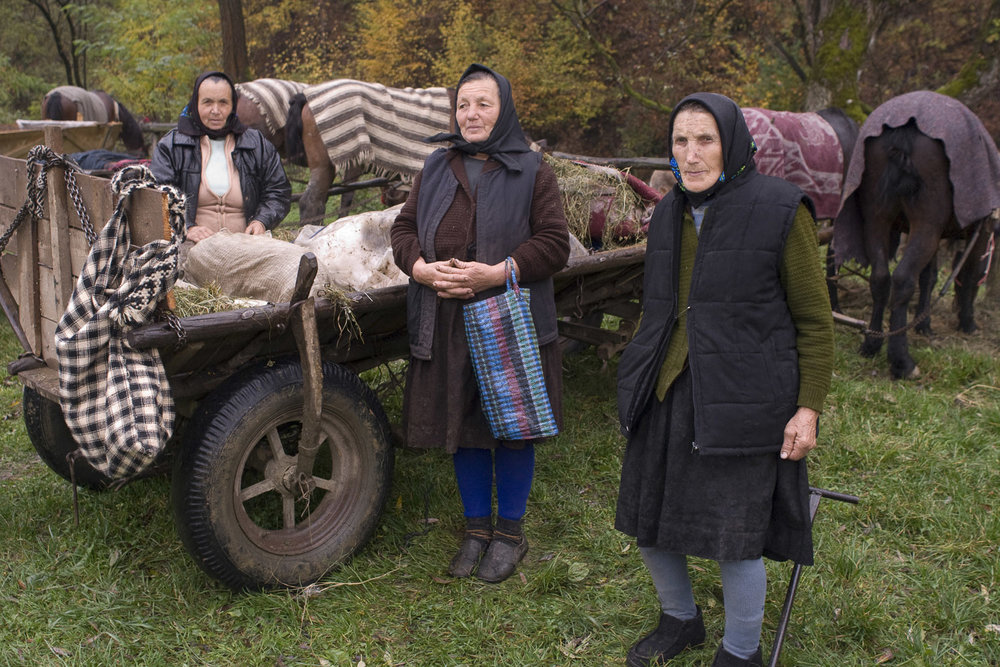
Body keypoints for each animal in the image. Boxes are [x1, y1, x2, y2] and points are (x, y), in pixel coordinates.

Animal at [832, 91, 1000, 378]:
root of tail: (905, 128)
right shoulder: (978, 233)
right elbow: (970, 276)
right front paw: (967, 322)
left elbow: (929, 277)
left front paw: (924, 323)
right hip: (926, 224)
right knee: (902, 280)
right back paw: (901, 360)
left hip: (878, 219)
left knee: (880, 279)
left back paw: (872, 342)